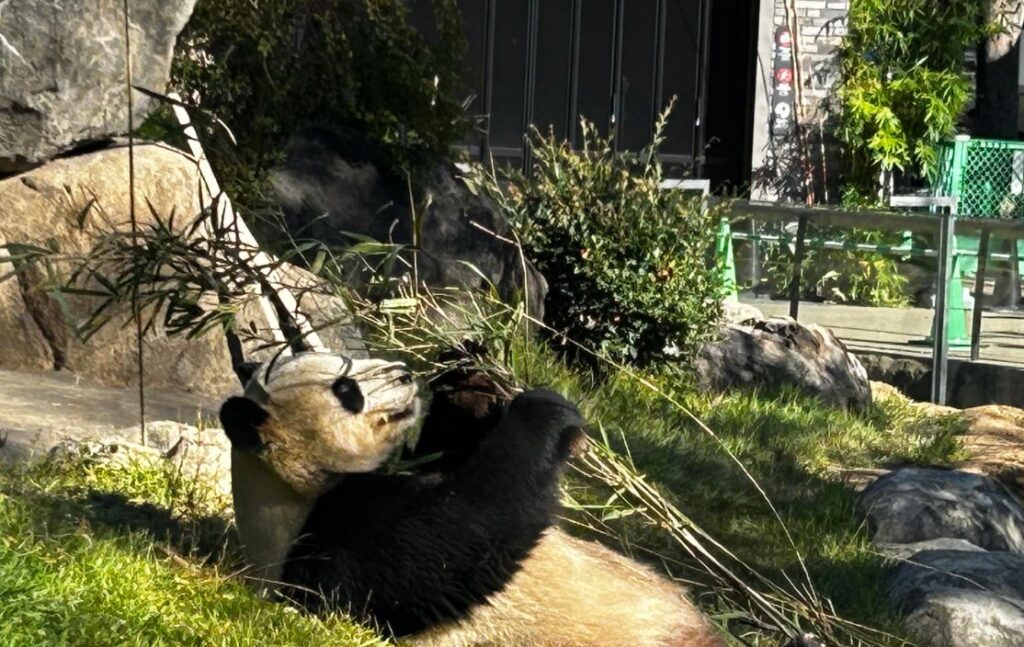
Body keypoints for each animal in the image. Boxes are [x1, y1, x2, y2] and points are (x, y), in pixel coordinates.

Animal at [220, 354, 724, 647]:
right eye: (346, 389)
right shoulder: (335, 541)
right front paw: (544, 406)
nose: (404, 374)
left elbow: (451, 451)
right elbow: (465, 531)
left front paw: (467, 384)